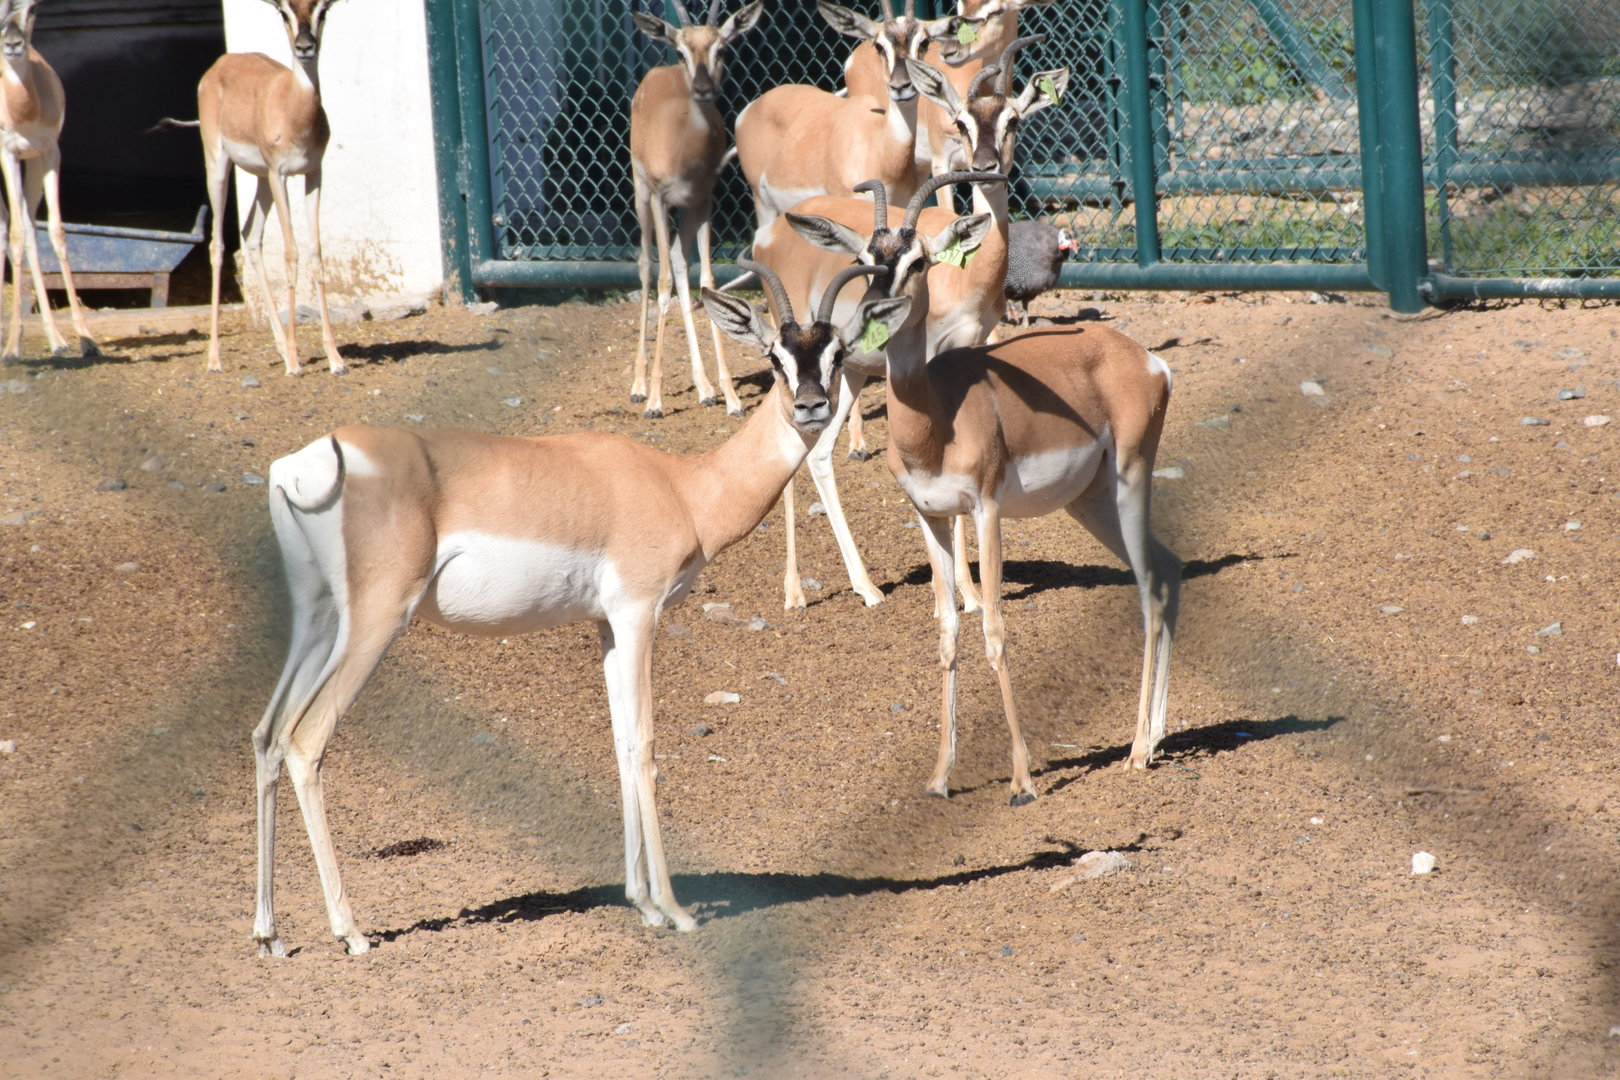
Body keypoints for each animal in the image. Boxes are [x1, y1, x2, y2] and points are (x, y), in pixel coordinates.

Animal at [0, 0, 98, 362]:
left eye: (31, 10)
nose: (13, 44)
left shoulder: (48, 153)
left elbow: (53, 231)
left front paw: (85, 337)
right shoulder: (9, 154)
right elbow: (17, 234)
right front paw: (12, 347)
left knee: (25, 226)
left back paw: (56, 338)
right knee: (9, 227)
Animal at [164, 0, 347, 375]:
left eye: (322, 11)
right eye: (285, 13)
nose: (304, 47)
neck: (293, 110)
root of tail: (221, 63)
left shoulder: (313, 174)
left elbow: (316, 252)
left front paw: (335, 358)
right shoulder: (280, 175)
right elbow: (291, 253)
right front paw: (294, 362)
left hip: (261, 180)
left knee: (250, 237)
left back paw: (279, 346)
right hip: (220, 166)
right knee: (218, 244)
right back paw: (215, 358)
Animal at [250, 258, 905, 956]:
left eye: (835, 354)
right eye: (774, 357)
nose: (811, 406)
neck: (682, 486)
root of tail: (302, 464)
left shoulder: (606, 626)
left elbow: (617, 744)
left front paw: (642, 903)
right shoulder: (639, 613)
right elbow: (643, 745)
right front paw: (674, 909)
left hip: (318, 620)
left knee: (267, 733)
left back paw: (270, 934)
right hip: (374, 623)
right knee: (306, 740)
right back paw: (350, 932)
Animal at [628, 0, 763, 419]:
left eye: (722, 48)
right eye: (681, 51)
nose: (703, 89)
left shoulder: (704, 202)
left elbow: (706, 280)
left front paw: (732, 398)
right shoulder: (659, 198)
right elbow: (662, 283)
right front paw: (655, 401)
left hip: (685, 212)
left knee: (676, 258)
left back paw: (704, 388)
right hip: (641, 195)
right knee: (647, 264)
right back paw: (639, 387)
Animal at [734, 0, 957, 233]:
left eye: (924, 42)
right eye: (879, 45)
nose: (900, 87)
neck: (881, 149)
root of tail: (751, 108)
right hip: (763, 204)